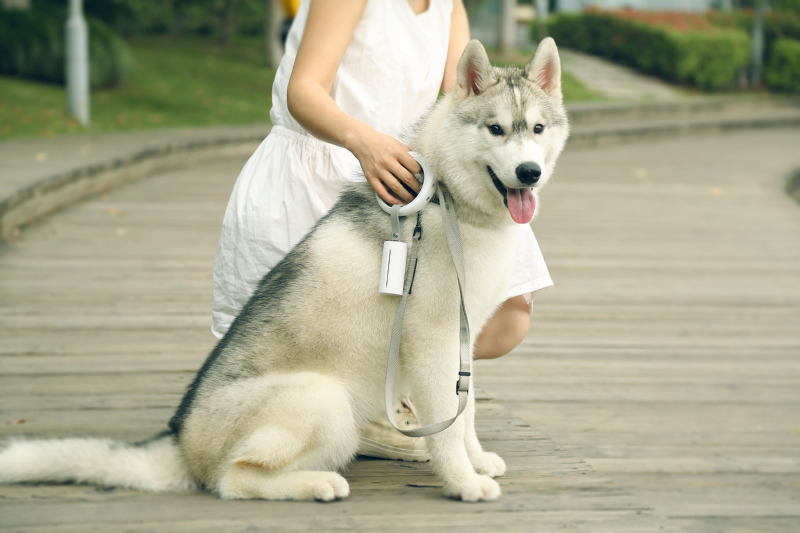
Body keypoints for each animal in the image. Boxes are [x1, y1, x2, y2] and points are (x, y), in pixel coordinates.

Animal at [0, 39, 568, 500]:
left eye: (537, 129)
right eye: (496, 129)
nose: (528, 173)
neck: (448, 199)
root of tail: (180, 440)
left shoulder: (461, 335)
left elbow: (464, 411)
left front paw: (477, 461)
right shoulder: (430, 339)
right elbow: (446, 426)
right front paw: (463, 482)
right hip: (325, 398)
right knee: (233, 480)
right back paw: (317, 484)